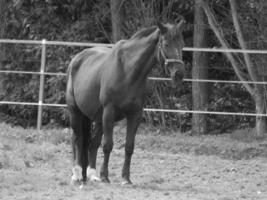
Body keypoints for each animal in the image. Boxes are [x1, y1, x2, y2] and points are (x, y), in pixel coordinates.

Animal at [66, 19, 185, 184]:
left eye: (182, 44)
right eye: (166, 44)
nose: (179, 74)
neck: (128, 71)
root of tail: (77, 59)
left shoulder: (135, 114)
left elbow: (129, 146)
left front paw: (126, 178)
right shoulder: (109, 112)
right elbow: (108, 145)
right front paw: (105, 176)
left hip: (97, 117)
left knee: (92, 143)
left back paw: (92, 175)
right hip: (76, 111)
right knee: (77, 139)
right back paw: (77, 174)